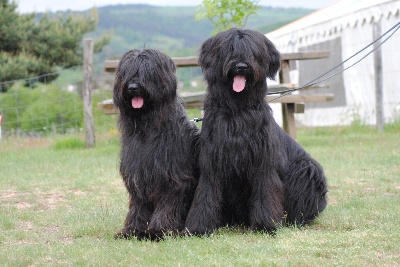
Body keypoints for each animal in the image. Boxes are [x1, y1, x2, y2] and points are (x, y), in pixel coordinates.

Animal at [112, 48, 200, 241]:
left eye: (148, 71)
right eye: (126, 72)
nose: (133, 87)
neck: (148, 127)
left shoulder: (172, 177)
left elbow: (167, 205)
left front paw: (158, 231)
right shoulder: (138, 176)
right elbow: (138, 206)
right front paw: (132, 229)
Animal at [184, 28, 328, 236]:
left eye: (253, 51)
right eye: (230, 48)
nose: (241, 66)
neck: (237, 109)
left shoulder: (263, 161)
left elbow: (265, 192)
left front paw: (265, 225)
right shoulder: (212, 161)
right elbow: (206, 193)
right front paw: (198, 227)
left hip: (307, 169)